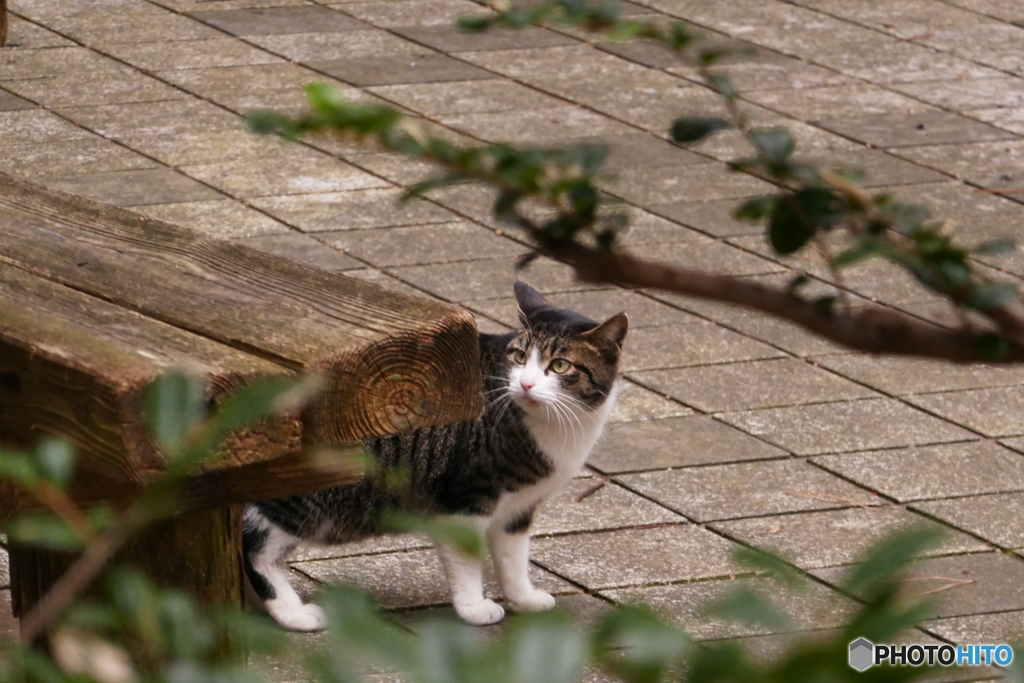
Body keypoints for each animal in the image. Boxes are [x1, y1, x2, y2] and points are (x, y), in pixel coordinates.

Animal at [241, 282, 622, 630]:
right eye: (520, 357)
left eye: (560, 365)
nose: (525, 384)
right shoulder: (468, 499)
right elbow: (467, 560)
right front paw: (474, 608)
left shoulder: (518, 508)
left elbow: (513, 558)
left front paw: (523, 599)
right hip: (299, 501)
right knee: (254, 550)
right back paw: (293, 613)